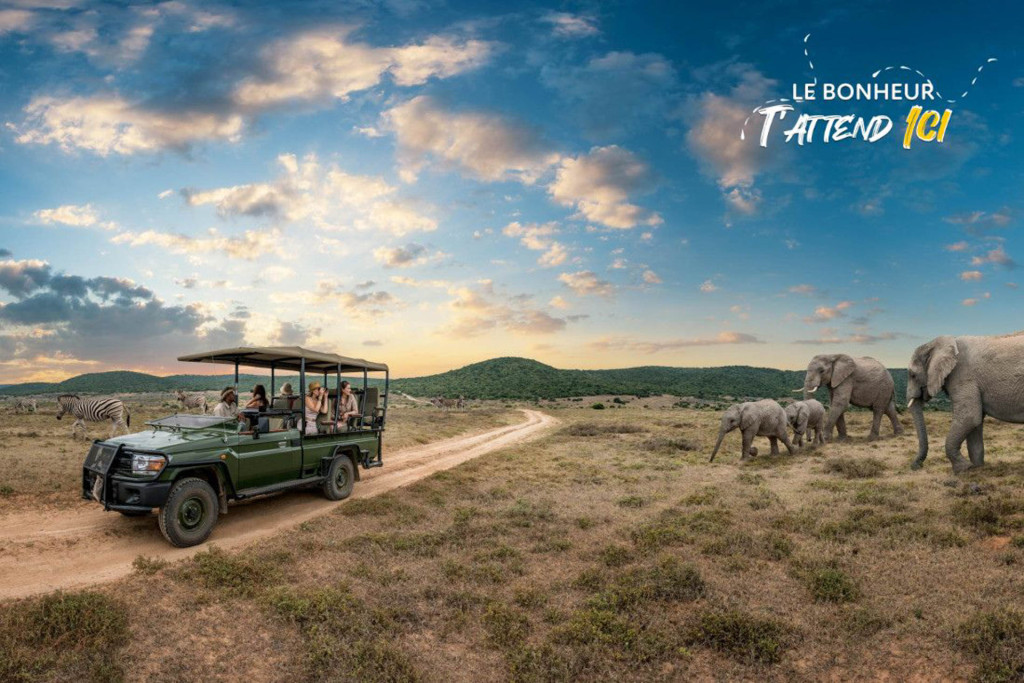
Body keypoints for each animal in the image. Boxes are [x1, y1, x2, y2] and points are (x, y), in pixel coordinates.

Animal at [907, 332, 1024, 473]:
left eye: (913, 375)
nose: (916, 466)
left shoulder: (963, 376)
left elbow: (970, 417)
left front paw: (963, 469)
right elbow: (975, 423)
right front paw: (977, 468)